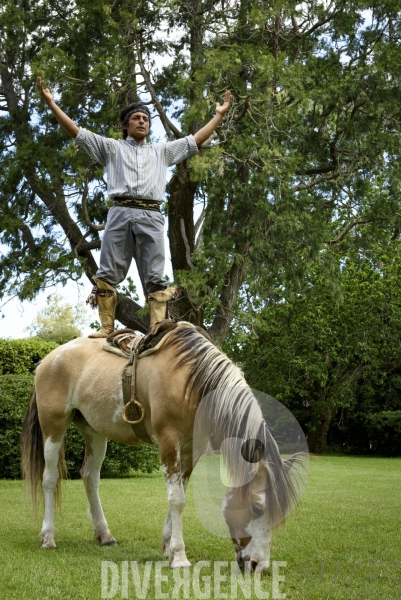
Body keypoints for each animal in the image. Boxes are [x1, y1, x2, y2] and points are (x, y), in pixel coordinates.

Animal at [19, 324, 300, 572]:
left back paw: (105, 535)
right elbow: (177, 500)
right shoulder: (169, 441)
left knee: (90, 477)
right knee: (49, 478)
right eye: (257, 507)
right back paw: (48, 537)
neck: (191, 381)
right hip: (53, 427)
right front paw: (179, 556)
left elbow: (180, 493)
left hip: (94, 432)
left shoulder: (192, 448)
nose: (259, 565)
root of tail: (48, 359)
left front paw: (167, 547)